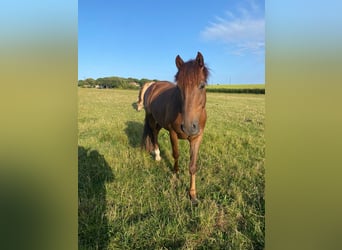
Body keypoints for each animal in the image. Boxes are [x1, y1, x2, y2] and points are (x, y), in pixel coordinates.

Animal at [141, 51, 208, 204]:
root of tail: (153, 85)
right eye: (179, 87)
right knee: (154, 134)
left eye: (202, 85)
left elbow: (193, 166)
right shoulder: (173, 133)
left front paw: (192, 195)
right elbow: (176, 154)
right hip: (151, 118)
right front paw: (176, 174)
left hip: (160, 121)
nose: (188, 127)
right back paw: (157, 155)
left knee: (156, 132)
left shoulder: (197, 137)